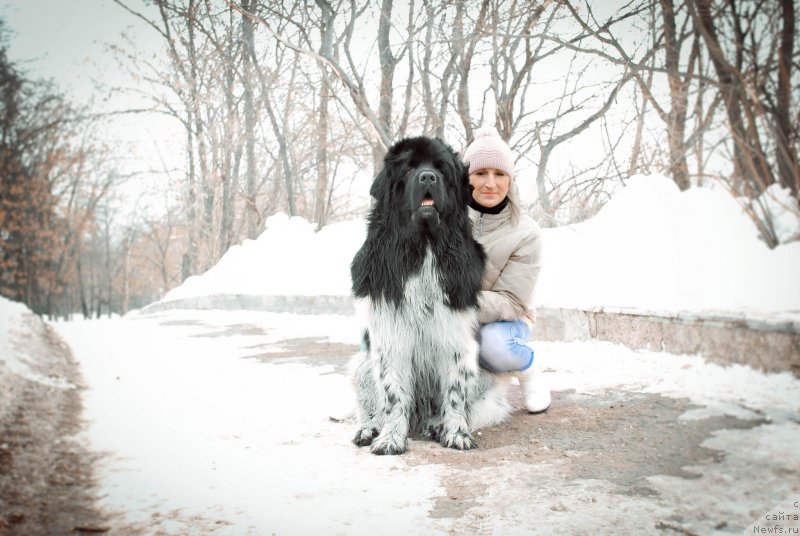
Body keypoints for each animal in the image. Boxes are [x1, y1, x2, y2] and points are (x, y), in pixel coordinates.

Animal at [348, 136, 506, 454]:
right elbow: (392, 395)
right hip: (361, 365)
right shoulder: (390, 336)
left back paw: (436, 424)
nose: (428, 177)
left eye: (442, 169)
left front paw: (456, 432)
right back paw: (368, 428)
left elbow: (456, 392)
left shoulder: (457, 336)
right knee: (368, 405)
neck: (423, 248)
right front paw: (391, 437)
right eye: (409, 169)